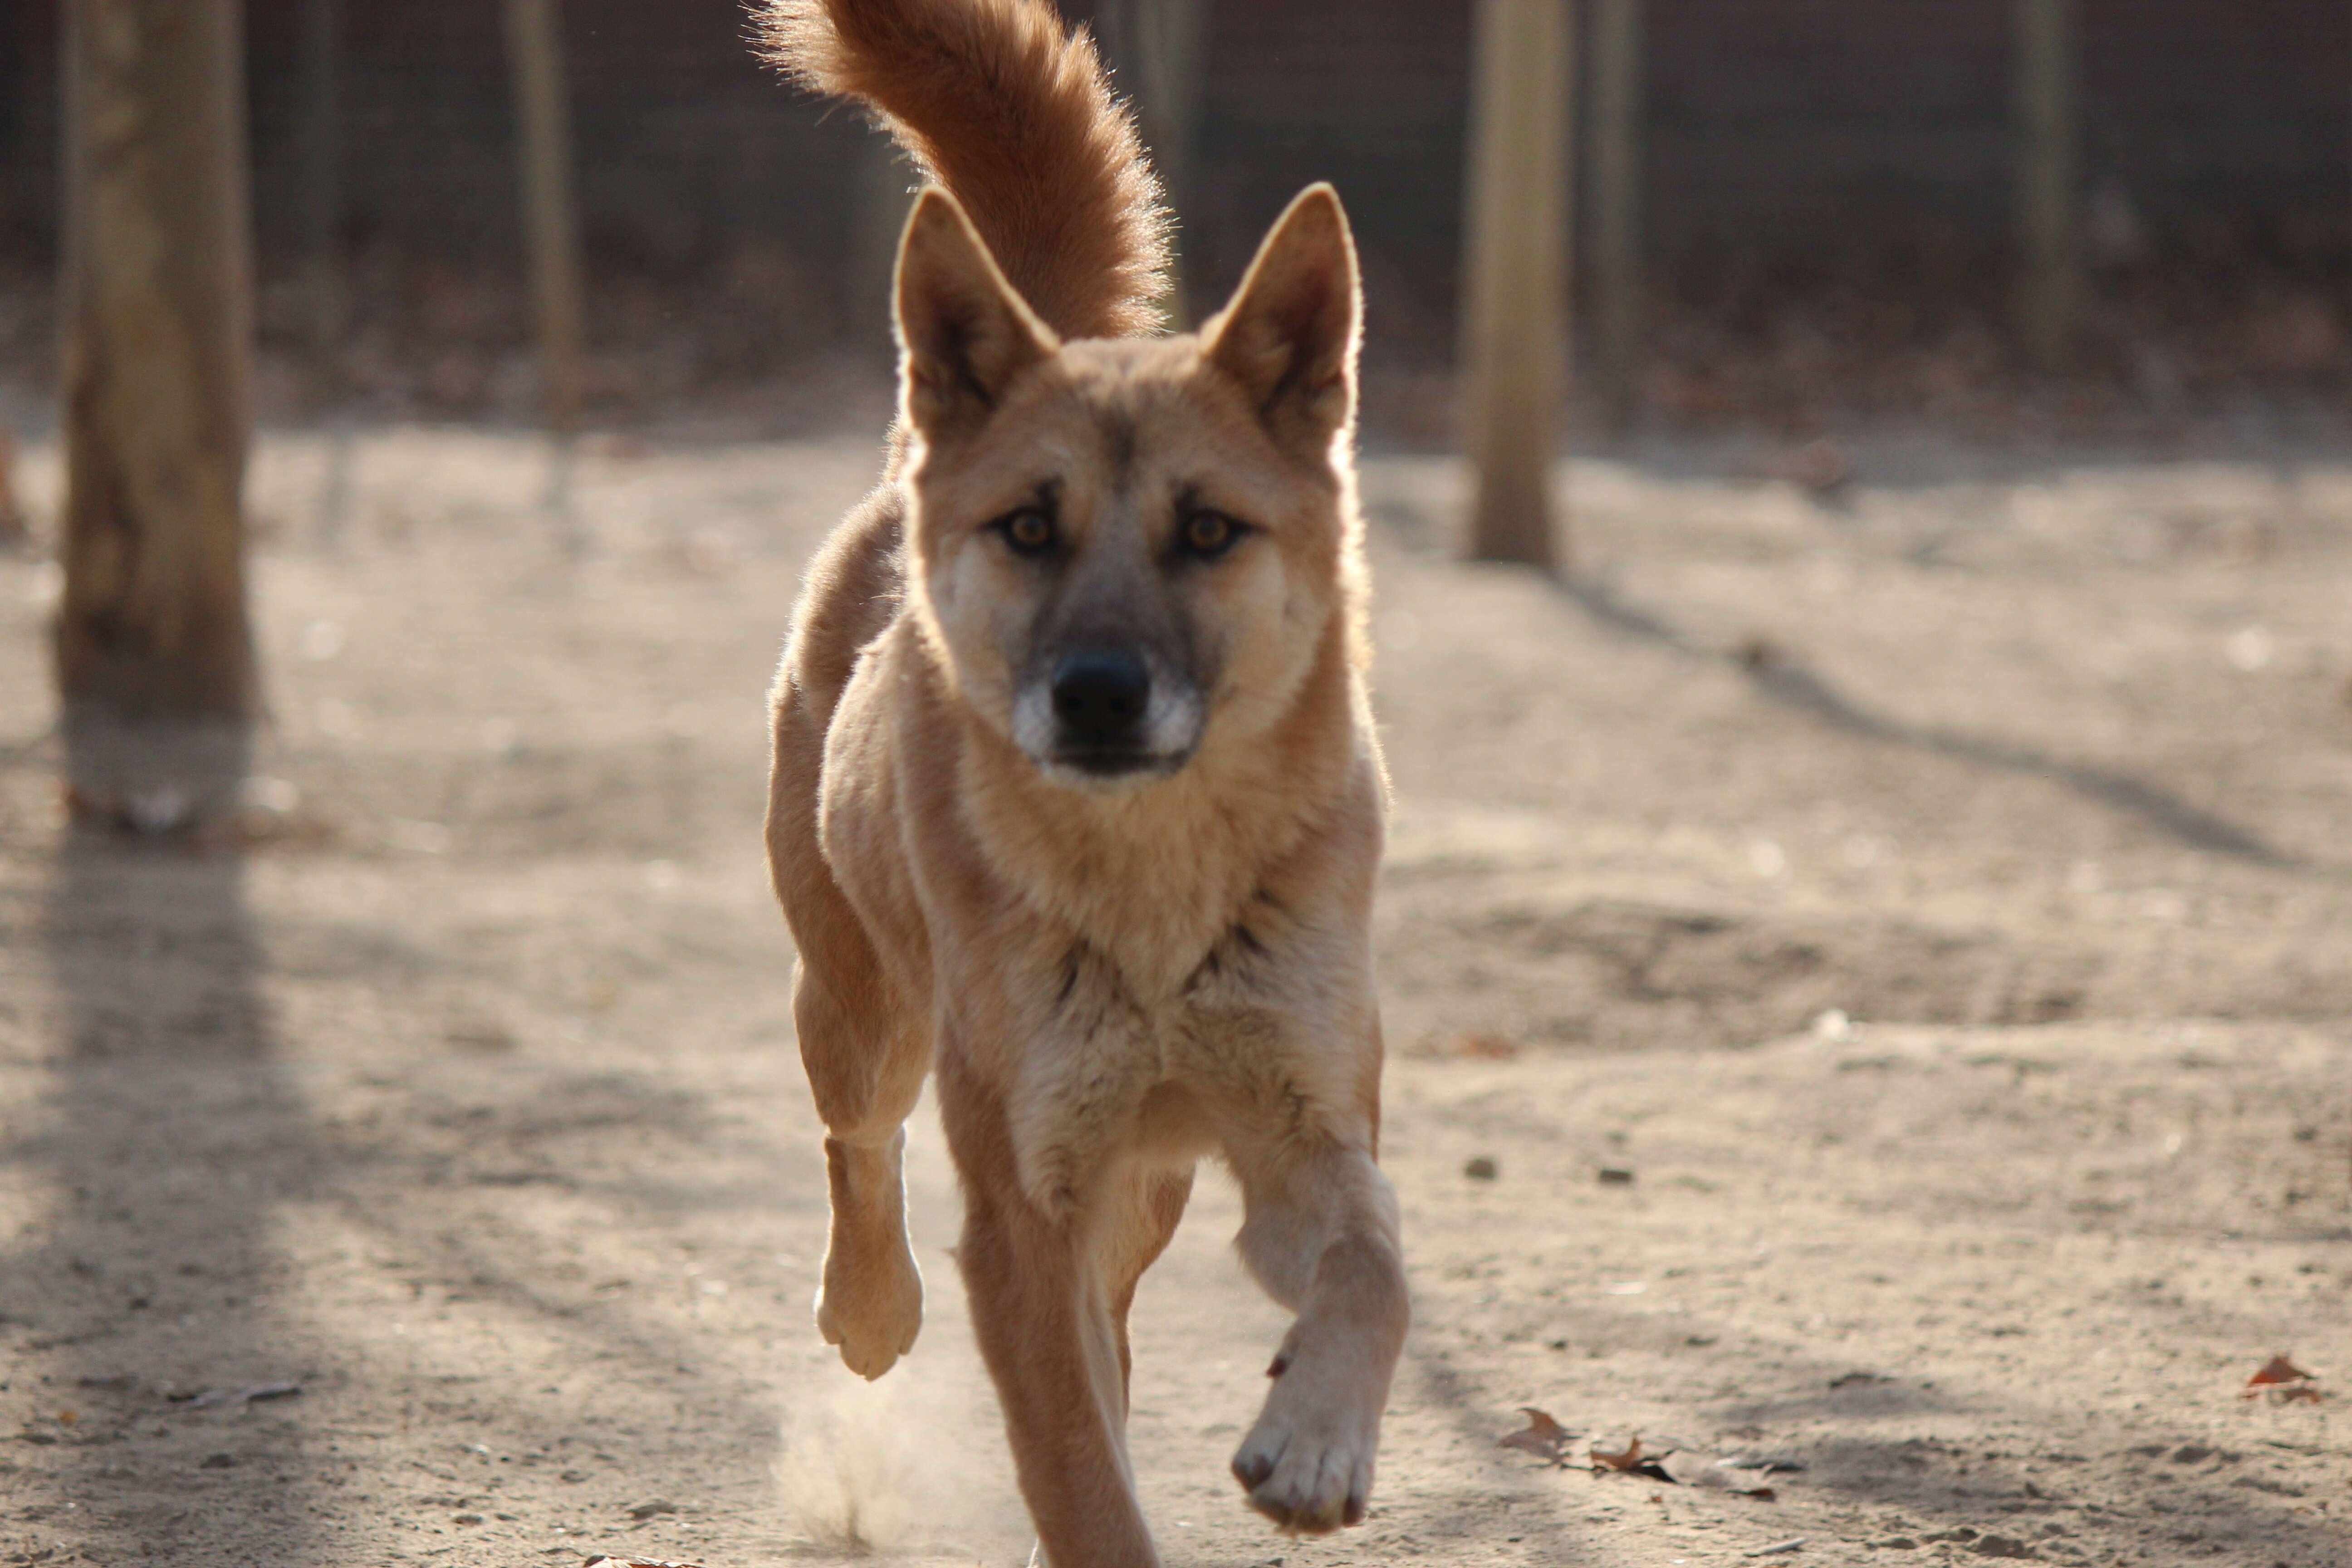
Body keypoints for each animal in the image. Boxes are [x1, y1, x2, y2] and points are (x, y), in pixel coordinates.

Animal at [762, 6, 1401, 1561]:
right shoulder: (1025, 1208)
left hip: (1148, 1187)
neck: (1154, 894)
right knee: (857, 1147)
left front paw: (1316, 1441)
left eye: (1209, 530)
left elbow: (1377, 1265)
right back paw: (869, 1309)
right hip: (864, 1015)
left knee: (1115, 1321)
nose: (1100, 692)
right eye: (1031, 528)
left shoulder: (1303, 1128)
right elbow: (1078, 1476)